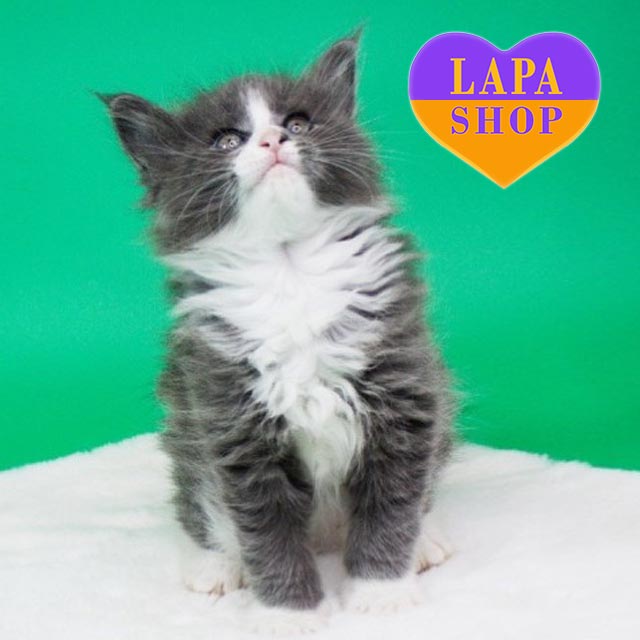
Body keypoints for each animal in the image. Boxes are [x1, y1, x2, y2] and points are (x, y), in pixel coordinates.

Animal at [103, 31, 456, 633]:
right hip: (184, 429)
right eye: (226, 141)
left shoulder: (404, 392)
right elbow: (265, 529)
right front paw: (290, 614)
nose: (271, 140)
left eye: (298, 123)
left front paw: (380, 592)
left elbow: (392, 501)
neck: (290, 269)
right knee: (200, 504)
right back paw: (215, 564)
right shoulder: (230, 420)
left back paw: (425, 542)